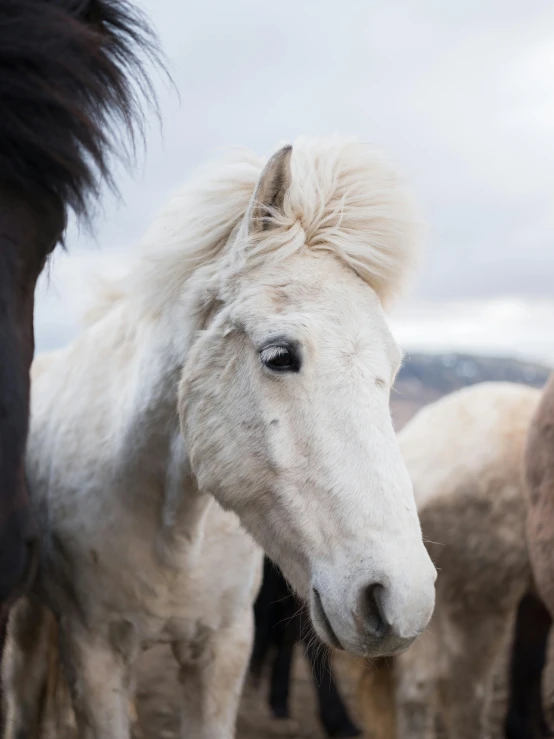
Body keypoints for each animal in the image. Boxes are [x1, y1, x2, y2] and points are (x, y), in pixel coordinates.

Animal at [5, 137, 436, 739]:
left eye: (392, 370)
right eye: (279, 355)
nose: (402, 601)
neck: (175, 531)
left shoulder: (223, 650)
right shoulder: (93, 652)